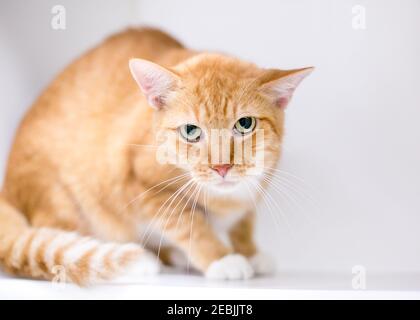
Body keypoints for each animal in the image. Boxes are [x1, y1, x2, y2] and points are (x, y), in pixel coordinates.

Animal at [0, 28, 312, 284]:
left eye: (245, 124)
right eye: (190, 131)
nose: (222, 166)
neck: (226, 199)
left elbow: (243, 221)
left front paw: (249, 251)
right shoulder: (142, 184)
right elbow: (190, 225)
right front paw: (221, 257)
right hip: (63, 200)